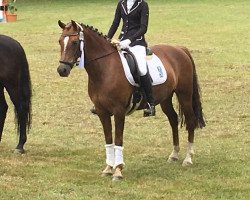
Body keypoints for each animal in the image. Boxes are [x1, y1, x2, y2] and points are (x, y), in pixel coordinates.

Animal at [57, 19, 206, 180]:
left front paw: (118, 170)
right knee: (173, 119)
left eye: (74, 42)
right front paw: (108, 168)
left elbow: (118, 139)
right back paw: (174, 155)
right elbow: (108, 140)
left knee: (190, 120)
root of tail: (179, 49)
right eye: (59, 41)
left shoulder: (119, 111)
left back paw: (188, 158)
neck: (104, 69)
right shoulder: (102, 112)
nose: (62, 70)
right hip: (165, 98)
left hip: (184, 94)